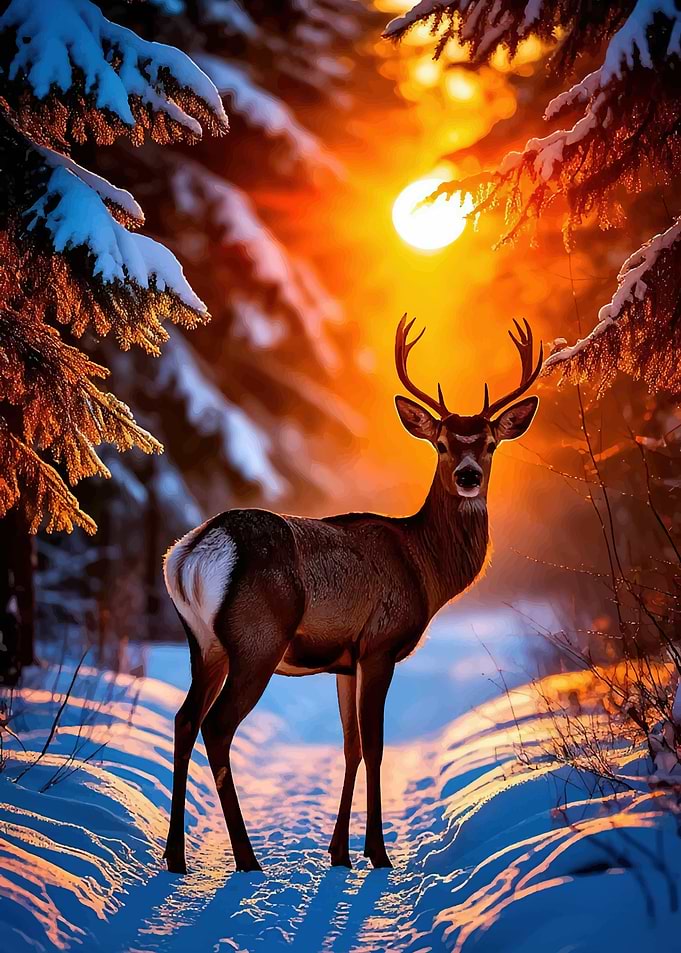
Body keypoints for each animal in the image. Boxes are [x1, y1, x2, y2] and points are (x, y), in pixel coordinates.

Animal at [162, 315, 542, 874]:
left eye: (491, 443)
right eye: (442, 444)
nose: (469, 476)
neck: (423, 565)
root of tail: (192, 553)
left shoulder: (345, 660)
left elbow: (351, 747)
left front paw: (339, 851)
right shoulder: (380, 644)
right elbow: (378, 746)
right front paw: (378, 853)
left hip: (203, 643)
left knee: (185, 718)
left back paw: (175, 857)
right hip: (256, 639)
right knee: (217, 726)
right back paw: (247, 859)